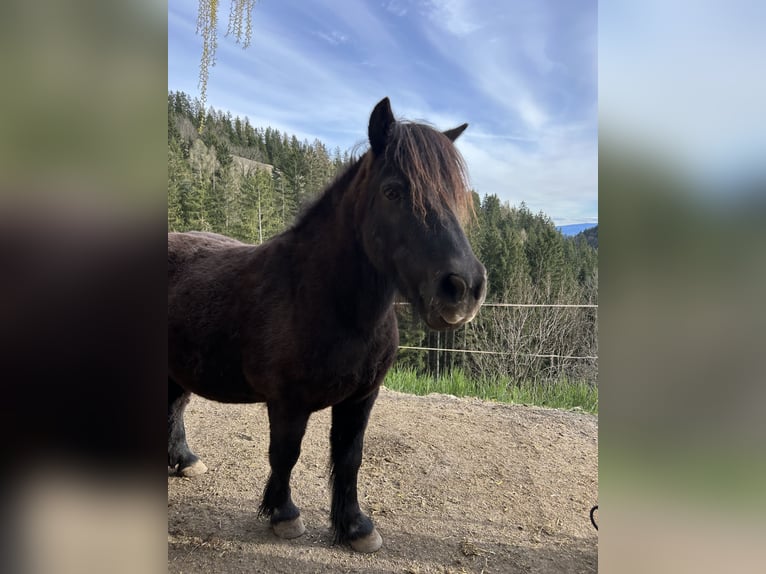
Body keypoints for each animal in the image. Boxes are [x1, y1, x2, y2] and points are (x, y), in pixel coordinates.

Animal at [168, 97, 487, 553]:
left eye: (456, 197)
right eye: (393, 191)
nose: (463, 287)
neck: (326, 302)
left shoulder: (361, 398)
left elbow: (349, 458)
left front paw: (354, 526)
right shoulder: (287, 402)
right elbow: (285, 454)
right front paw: (284, 514)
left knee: (174, 406)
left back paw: (185, 461)